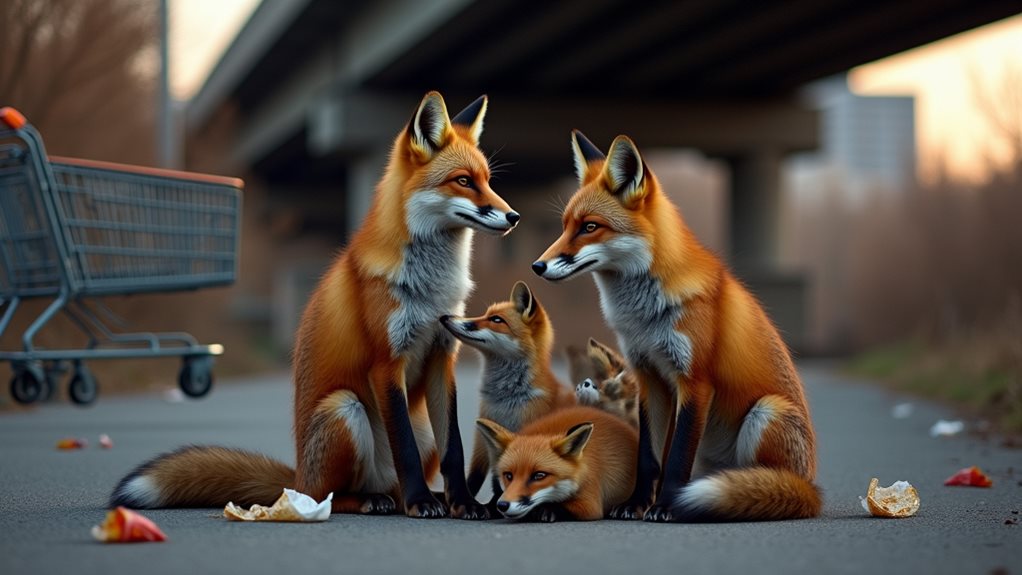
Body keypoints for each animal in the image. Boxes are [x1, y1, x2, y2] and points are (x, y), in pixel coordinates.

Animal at [109, 92, 519, 520]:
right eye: (463, 181)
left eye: (488, 181)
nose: (514, 216)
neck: (430, 289)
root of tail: (297, 477)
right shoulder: (386, 363)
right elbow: (403, 448)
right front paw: (421, 502)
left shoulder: (442, 355)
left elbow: (454, 447)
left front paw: (464, 502)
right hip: (344, 408)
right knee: (334, 495)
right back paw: (381, 500)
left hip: (418, 425)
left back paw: (423, 497)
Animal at [439, 280, 574, 506]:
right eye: (485, 314)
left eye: (496, 320)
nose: (445, 317)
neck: (505, 403)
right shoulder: (483, 438)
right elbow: (477, 477)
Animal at [476, 406, 637, 522]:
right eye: (508, 475)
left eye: (539, 475)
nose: (502, 505)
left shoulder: (590, 504)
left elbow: (559, 506)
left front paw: (545, 510)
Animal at [531, 130, 820, 522]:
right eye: (565, 227)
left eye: (589, 227)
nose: (537, 266)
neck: (646, 319)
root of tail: (812, 489)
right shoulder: (648, 375)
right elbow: (649, 457)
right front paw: (637, 504)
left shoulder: (694, 381)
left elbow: (677, 457)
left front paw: (666, 506)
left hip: (767, 412)